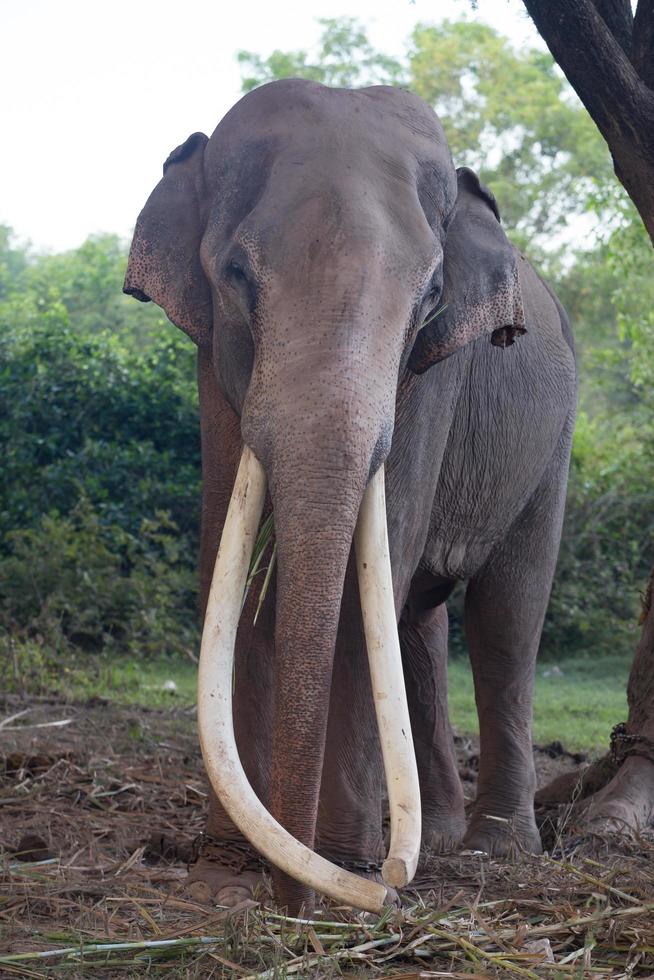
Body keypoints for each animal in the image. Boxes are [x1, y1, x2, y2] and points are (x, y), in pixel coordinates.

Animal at [125, 80, 576, 916]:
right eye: (235, 274)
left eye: (432, 293)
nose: (290, 898)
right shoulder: (212, 367)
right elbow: (225, 566)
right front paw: (225, 879)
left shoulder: (431, 378)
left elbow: (375, 568)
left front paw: (340, 874)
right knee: (419, 626)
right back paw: (437, 841)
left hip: (552, 442)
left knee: (505, 614)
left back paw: (492, 851)